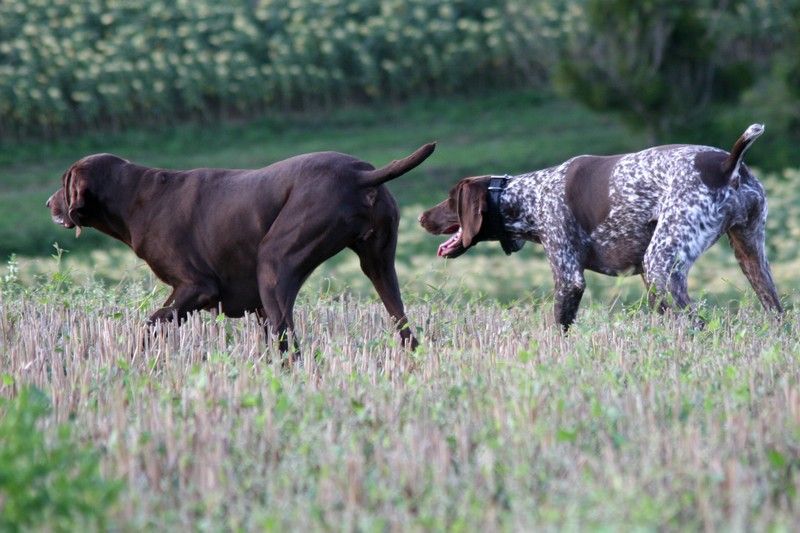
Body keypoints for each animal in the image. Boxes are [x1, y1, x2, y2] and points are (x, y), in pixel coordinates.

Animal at [47, 143, 434, 352]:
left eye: (64, 182)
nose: (48, 203)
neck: (136, 197)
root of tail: (360, 174)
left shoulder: (196, 287)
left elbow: (151, 323)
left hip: (274, 264)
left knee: (290, 343)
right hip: (379, 267)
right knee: (404, 327)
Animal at [418, 124, 780, 328]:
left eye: (450, 199)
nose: (422, 217)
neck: (529, 196)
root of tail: (727, 165)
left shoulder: (569, 278)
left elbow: (559, 328)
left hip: (661, 266)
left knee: (698, 325)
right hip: (751, 259)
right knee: (778, 313)